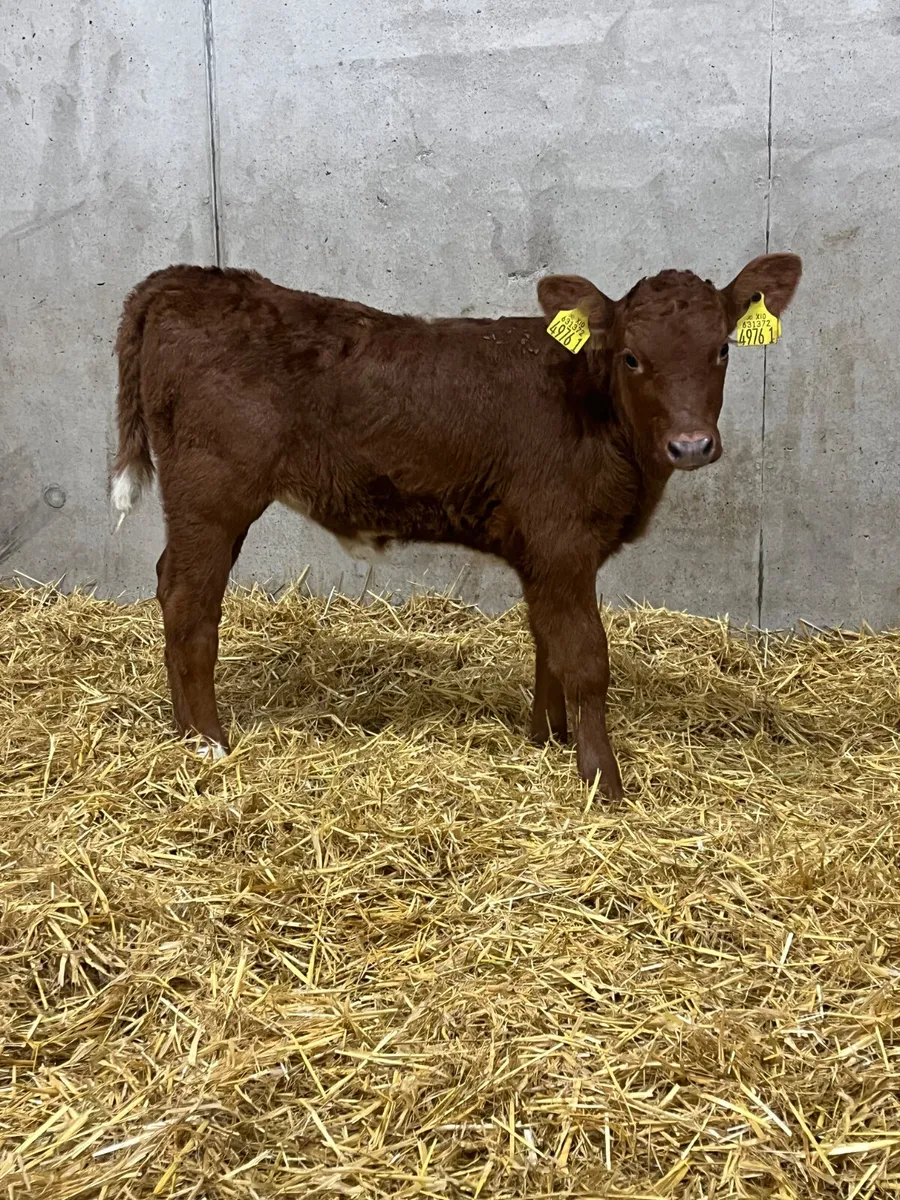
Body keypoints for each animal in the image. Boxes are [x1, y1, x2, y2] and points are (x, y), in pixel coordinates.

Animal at [110, 254, 802, 797]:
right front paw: (602, 781)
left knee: (170, 584)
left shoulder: (544, 555)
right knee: (189, 601)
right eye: (632, 358)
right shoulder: (561, 541)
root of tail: (184, 279)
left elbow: (547, 643)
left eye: (721, 349)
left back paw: (182, 733)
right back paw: (208, 741)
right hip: (212, 491)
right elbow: (584, 657)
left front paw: (546, 739)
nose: (691, 445)